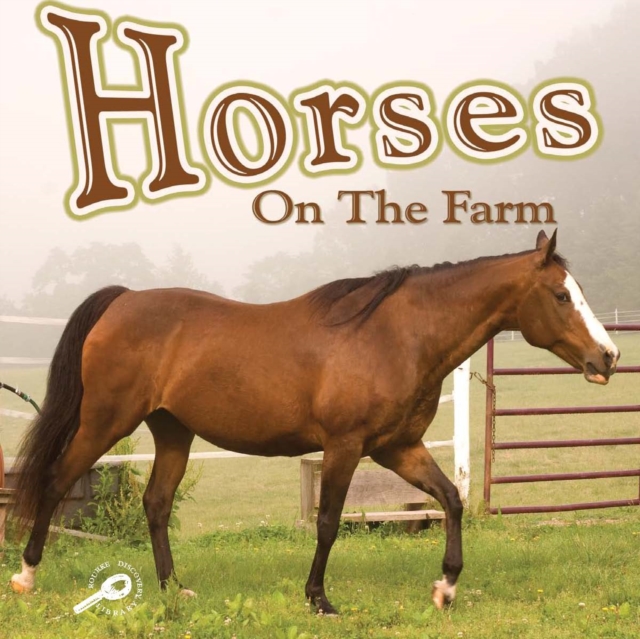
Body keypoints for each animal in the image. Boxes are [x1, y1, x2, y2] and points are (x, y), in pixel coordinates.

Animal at [10, 230, 619, 612]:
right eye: (561, 295)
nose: (608, 357)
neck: (395, 335)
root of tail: (124, 299)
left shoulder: (398, 448)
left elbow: (450, 499)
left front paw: (445, 588)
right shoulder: (345, 446)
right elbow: (328, 521)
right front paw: (319, 598)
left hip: (172, 430)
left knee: (156, 504)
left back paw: (172, 589)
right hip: (104, 421)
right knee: (57, 481)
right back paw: (26, 575)